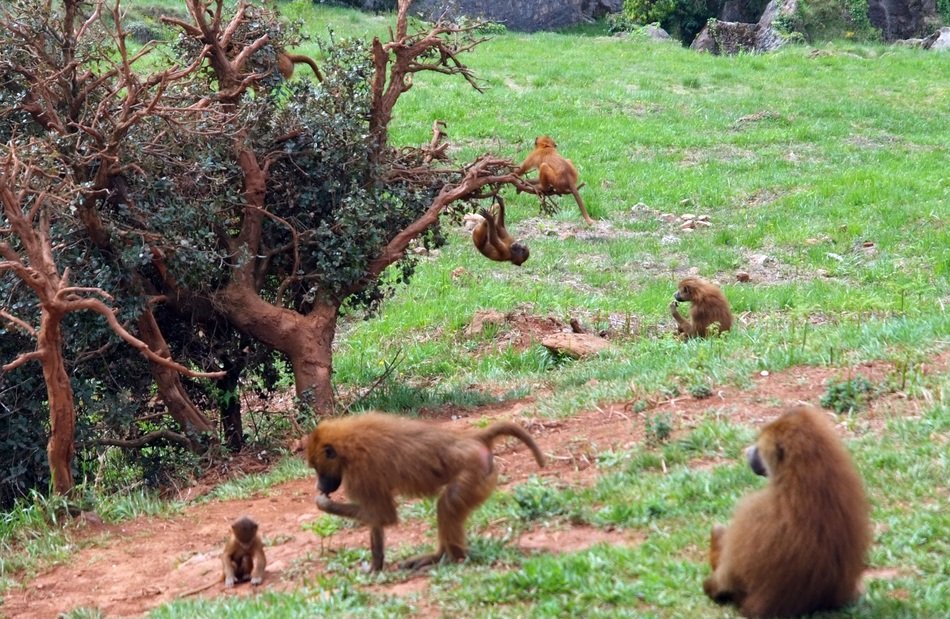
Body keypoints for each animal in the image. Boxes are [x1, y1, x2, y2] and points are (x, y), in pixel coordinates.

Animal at [305, 412, 545, 572]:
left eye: (318, 469)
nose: (320, 487)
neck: (345, 443)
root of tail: (471, 439)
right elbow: (378, 519)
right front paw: (376, 567)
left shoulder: (360, 474)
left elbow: (384, 515)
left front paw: (324, 504)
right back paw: (440, 557)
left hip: (474, 472)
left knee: (447, 504)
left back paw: (453, 559)